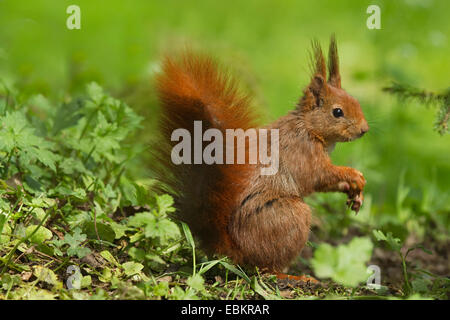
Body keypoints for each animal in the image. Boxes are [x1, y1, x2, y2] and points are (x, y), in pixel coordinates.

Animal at [151, 35, 370, 276]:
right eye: (337, 112)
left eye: (356, 101)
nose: (364, 129)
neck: (308, 128)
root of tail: (235, 250)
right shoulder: (302, 154)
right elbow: (318, 176)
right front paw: (355, 176)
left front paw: (355, 193)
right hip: (289, 217)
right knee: (266, 269)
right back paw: (295, 276)